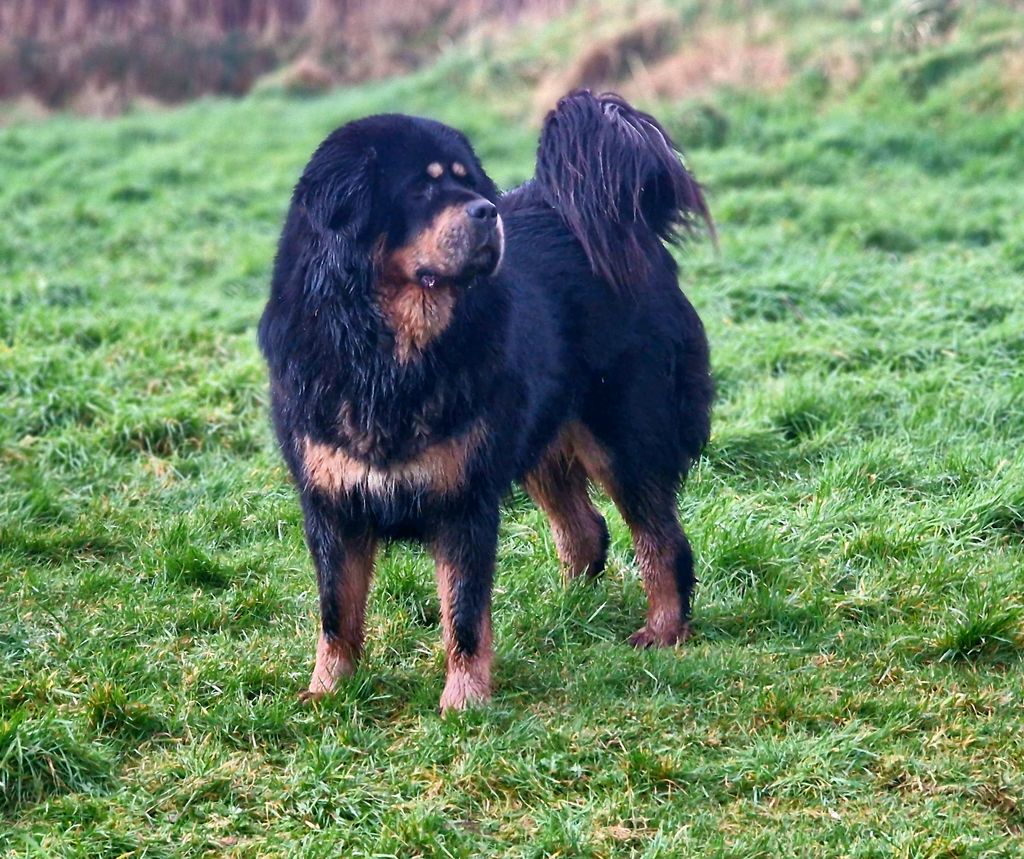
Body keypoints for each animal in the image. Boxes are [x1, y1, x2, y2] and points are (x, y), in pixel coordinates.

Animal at [258, 89, 712, 712]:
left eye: (467, 182)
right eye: (421, 188)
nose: (486, 212)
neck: (386, 351)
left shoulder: (463, 498)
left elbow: (464, 613)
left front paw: (464, 702)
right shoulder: (332, 501)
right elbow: (336, 613)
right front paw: (328, 692)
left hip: (623, 435)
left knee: (661, 539)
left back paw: (663, 630)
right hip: (540, 437)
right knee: (585, 532)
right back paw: (565, 616)